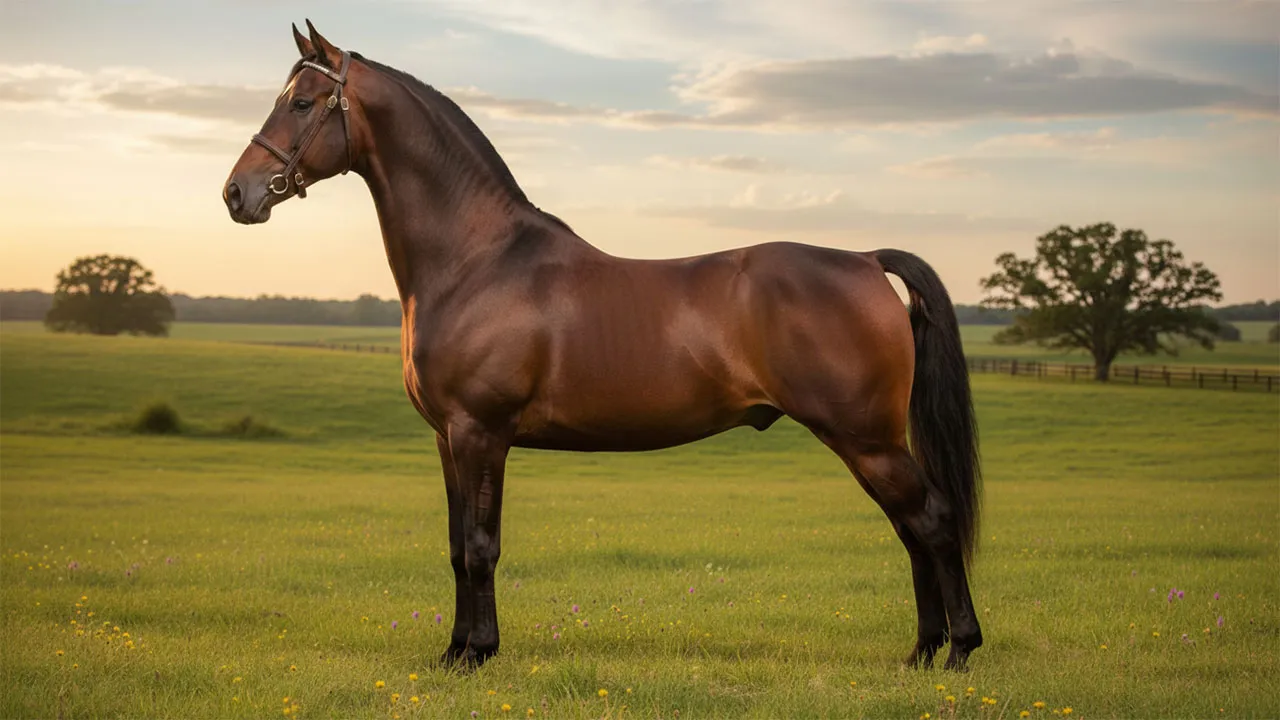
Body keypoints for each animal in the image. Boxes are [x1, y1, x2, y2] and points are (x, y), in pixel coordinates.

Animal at [222, 20, 984, 672]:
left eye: (302, 102)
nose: (237, 193)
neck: (477, 259)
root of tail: (864, 259)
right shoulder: (446, 438)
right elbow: (455, 547)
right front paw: (453, 652)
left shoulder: (480, 432)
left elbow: (481, 547)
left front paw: (479, 653)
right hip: (867, 442)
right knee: (910, 528)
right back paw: (920, 652)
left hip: (866, 438)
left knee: (932, 521)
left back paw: (957, 649)